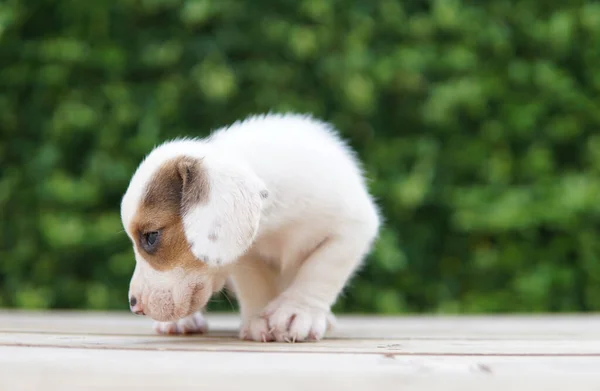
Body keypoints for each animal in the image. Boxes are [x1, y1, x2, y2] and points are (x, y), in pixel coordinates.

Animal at [120, 113, 380, 344]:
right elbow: (254, 282)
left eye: (151, 237)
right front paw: (258, 320)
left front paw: (297, 312)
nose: (134, 305)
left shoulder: (351, 227)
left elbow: (320, 270)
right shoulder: (245, 257)